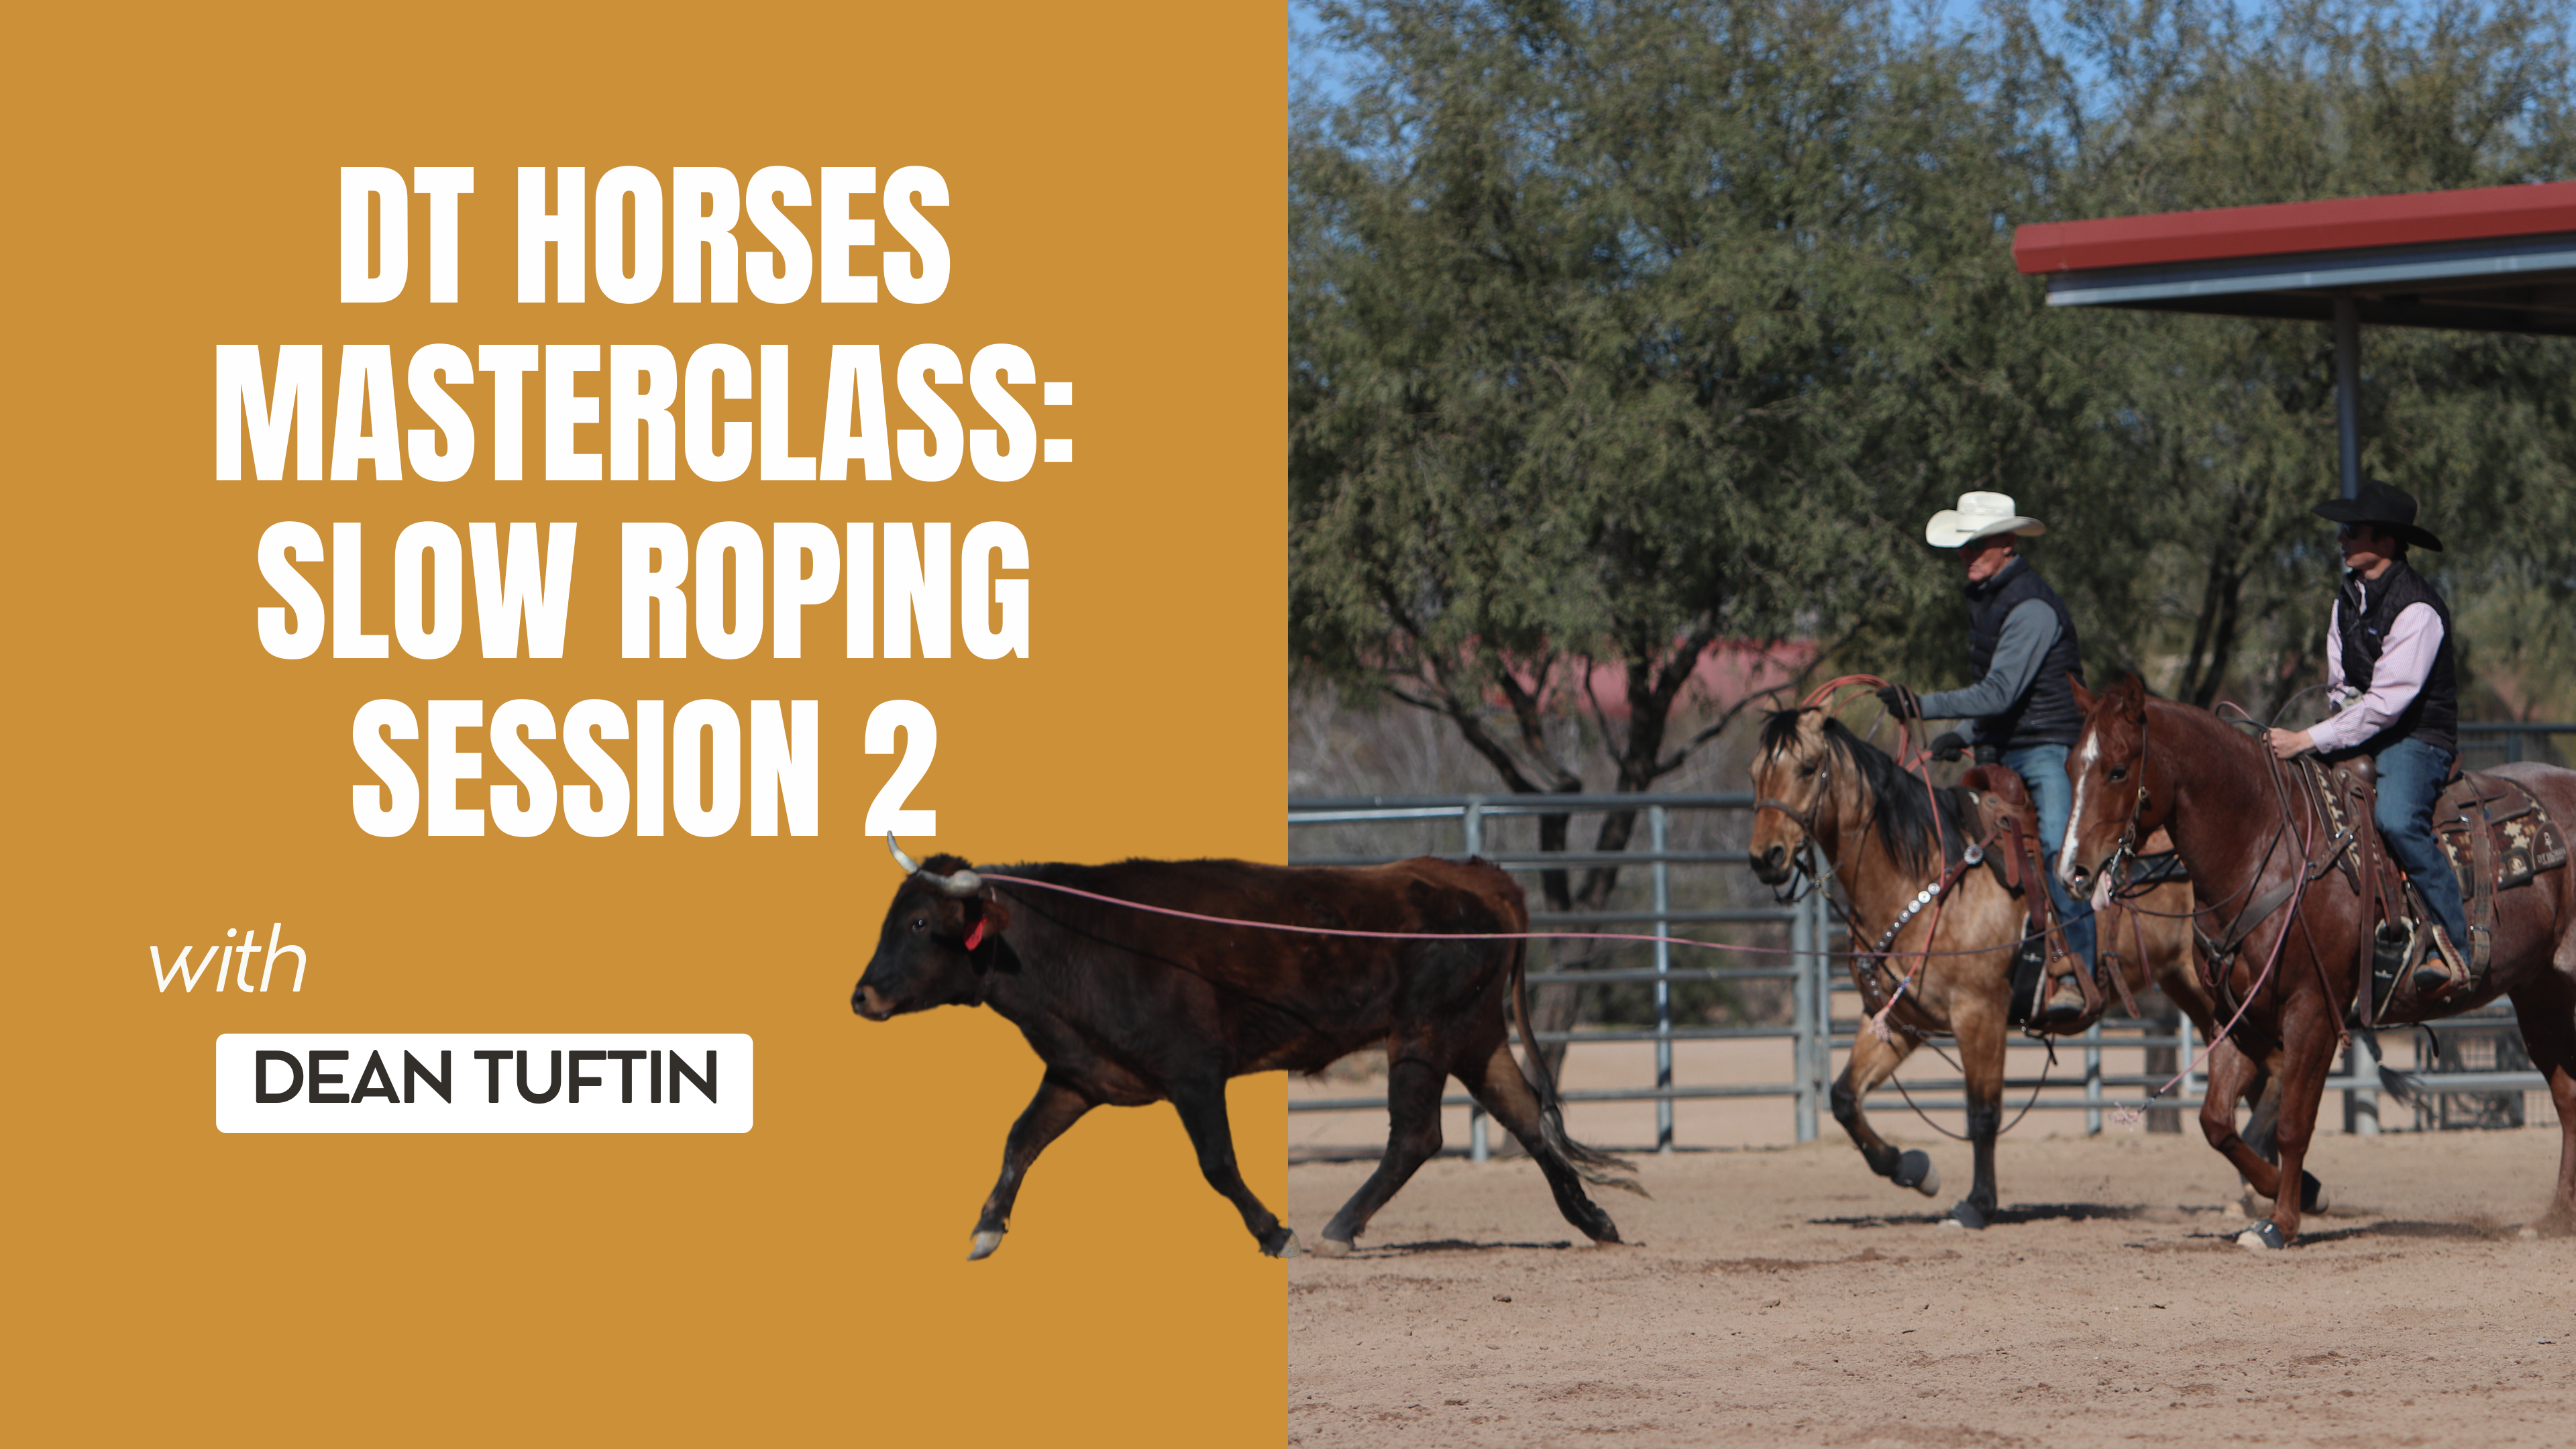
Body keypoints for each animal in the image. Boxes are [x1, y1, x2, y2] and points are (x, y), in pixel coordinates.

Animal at [1748, 706, 2265, 1228]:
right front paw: (1914, 1169)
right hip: (2194, 989)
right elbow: (1845, 1098)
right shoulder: (1900, 1020)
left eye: (1808, 768)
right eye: (1755, 774)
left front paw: (1977, 1203)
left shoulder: (1979, 1014)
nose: (1765, 857)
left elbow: (1983, 1113)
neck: (1926, 876)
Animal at [2057, 674, 2576, 1247]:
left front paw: (2280, 1223)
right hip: (2541, 993)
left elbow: (2292, 1124)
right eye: (2071, 766)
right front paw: (2306, 1192)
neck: (2265, 845)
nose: (2073, 872)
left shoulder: (2312, 1013)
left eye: (2118, 769)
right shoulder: (2237, 1016)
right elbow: (2216, 1122)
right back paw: (2556, 1218)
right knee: (2568, 1096)